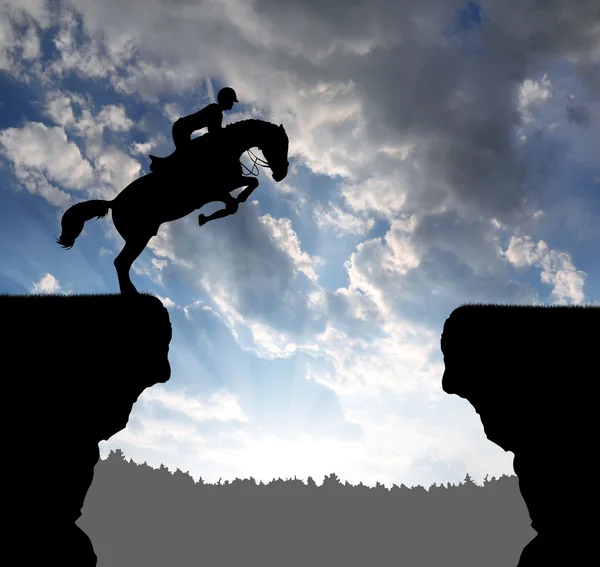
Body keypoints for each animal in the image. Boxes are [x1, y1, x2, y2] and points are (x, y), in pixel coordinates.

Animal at [56, 120, 290, 298]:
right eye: (279, 144)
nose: (281, 175)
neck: (222, 149)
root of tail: (114, 202)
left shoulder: (225, 186)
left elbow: (249, 186)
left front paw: (218, 210)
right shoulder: (215, 189)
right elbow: (239, 195)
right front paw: (213, 213)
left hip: (140, 236)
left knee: (122, 263)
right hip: (139, 236)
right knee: (121, 263)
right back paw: (131, 294)